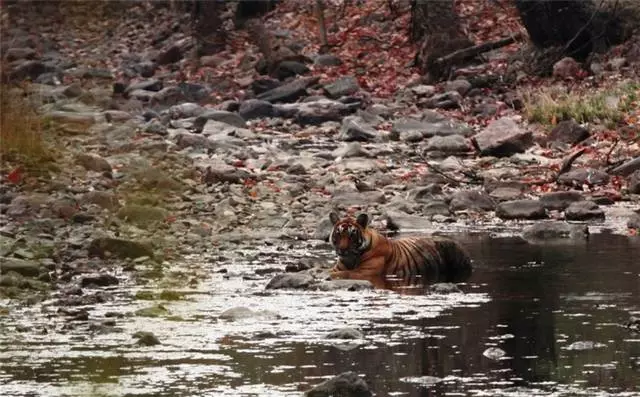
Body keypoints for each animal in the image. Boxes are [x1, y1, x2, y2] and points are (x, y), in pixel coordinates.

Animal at [330, 210, 470, 282]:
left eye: (351, 235)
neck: (351, 258)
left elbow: (344, 274)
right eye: (338, 234)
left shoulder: (365, 272)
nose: (342, 249)